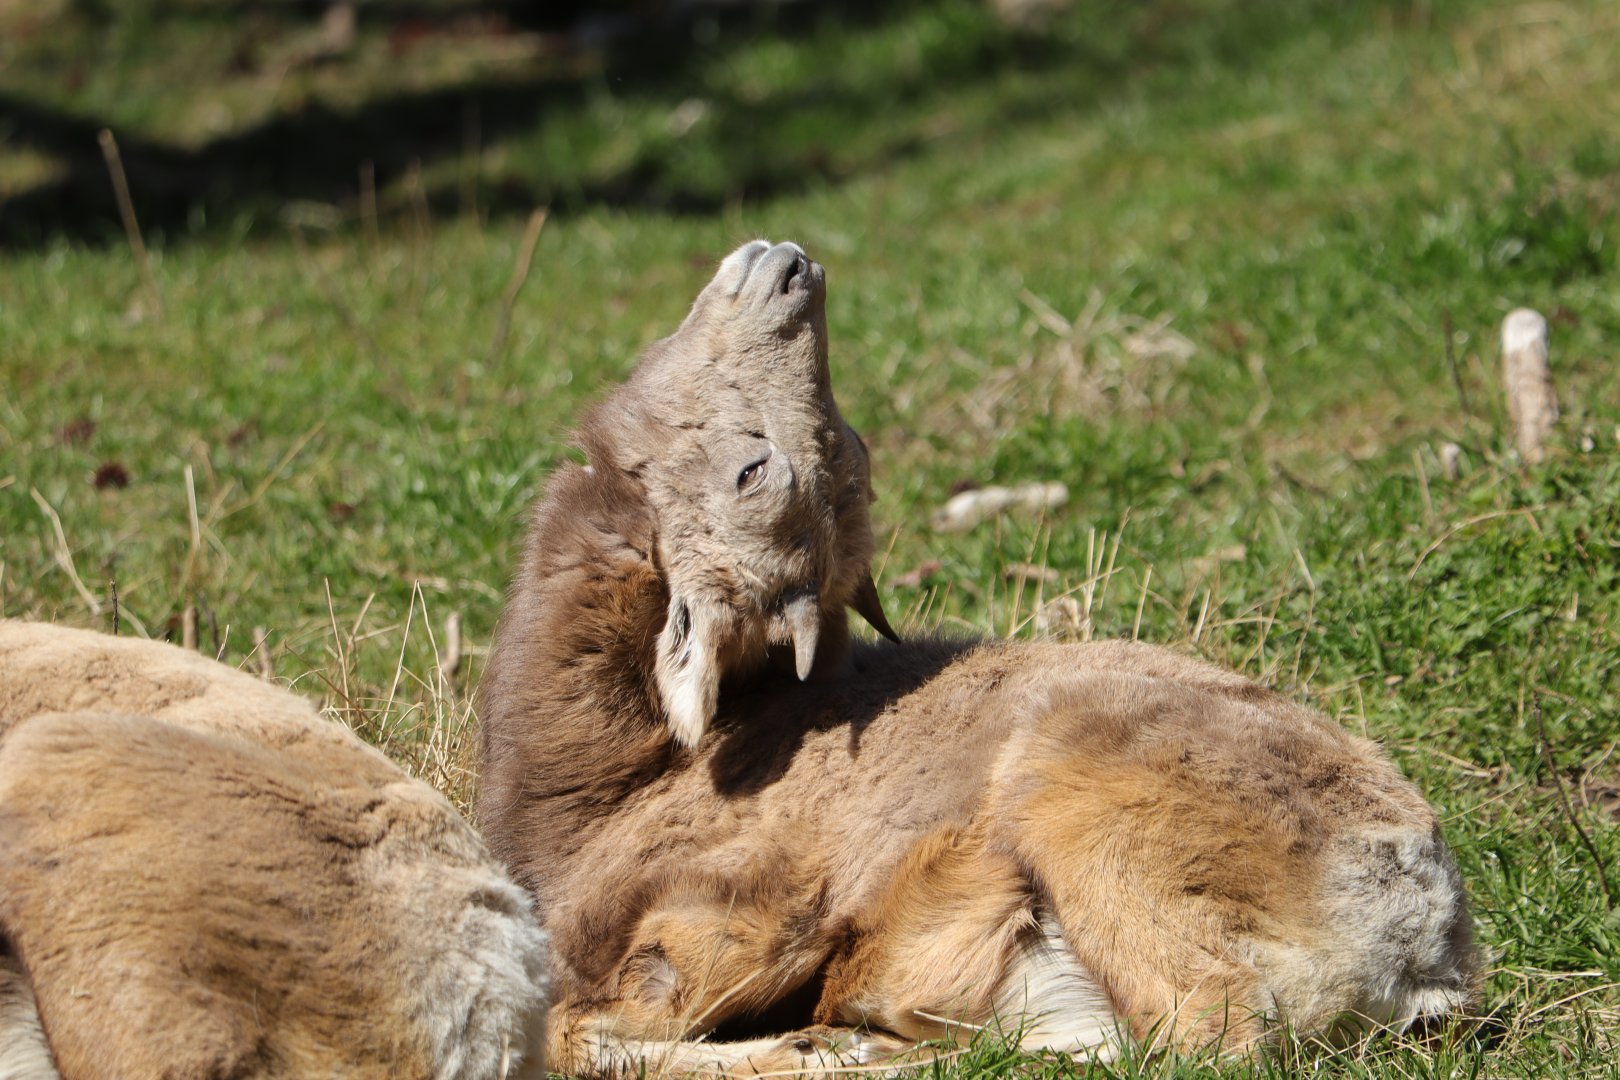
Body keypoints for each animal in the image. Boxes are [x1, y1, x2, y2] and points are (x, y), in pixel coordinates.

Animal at [477, 240, 1479, 1075]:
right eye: (757, 470)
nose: (792, 266)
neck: (614, 792)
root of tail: (1421, 931)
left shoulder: (730, 912)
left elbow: (578, 1032)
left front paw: (822, 1047)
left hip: (1082, 789)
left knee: (1215, 1032)